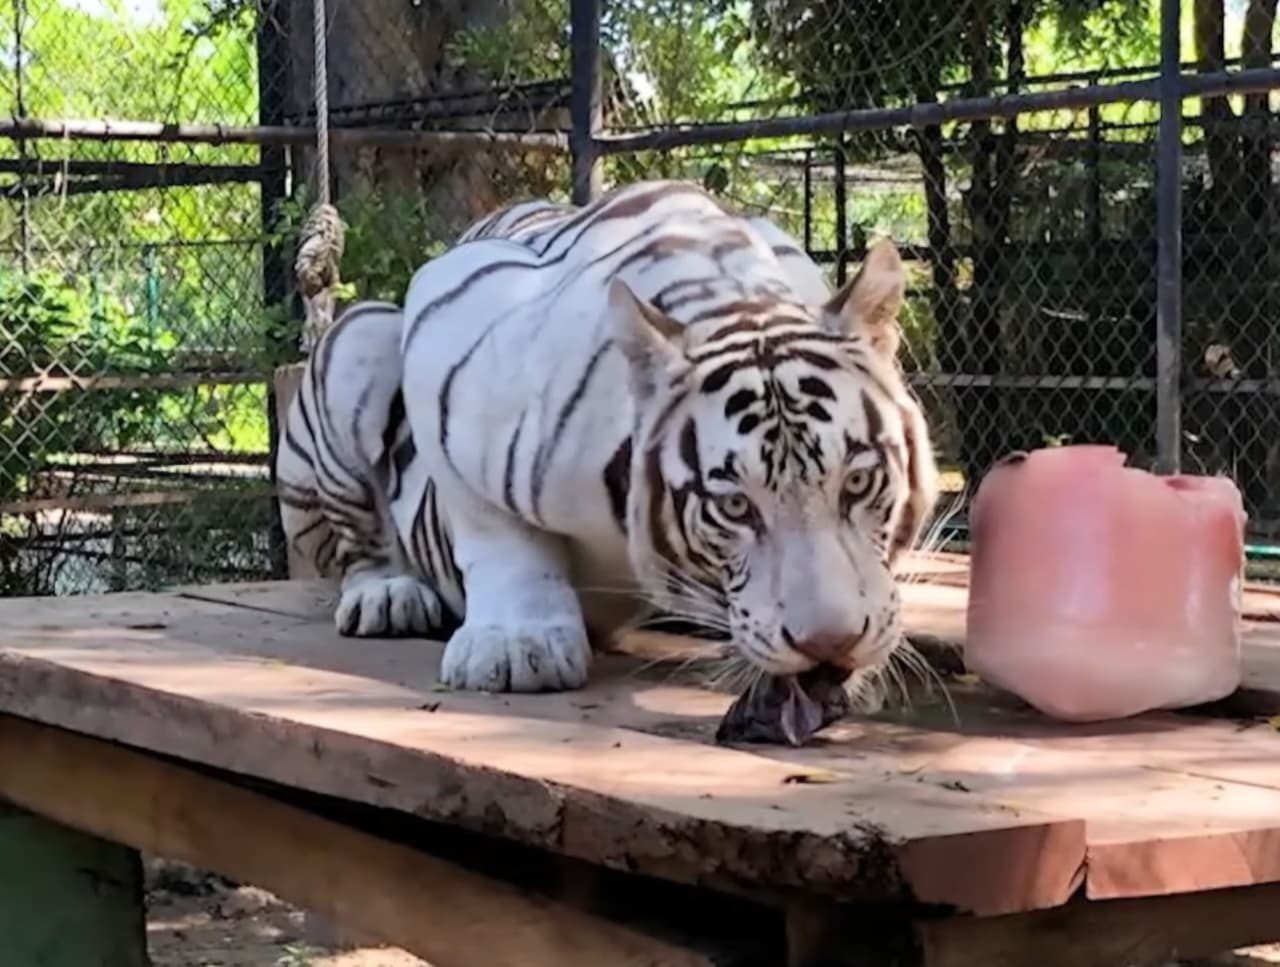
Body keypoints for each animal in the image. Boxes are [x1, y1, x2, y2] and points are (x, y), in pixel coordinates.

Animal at [274, 179, 939, 695]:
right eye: (734, 506)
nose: (830, 643)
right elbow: (493, 528)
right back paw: (389, 593)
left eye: (859, 481)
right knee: (355, 546)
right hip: (359, 338)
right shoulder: (447, 314)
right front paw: (518, 644)